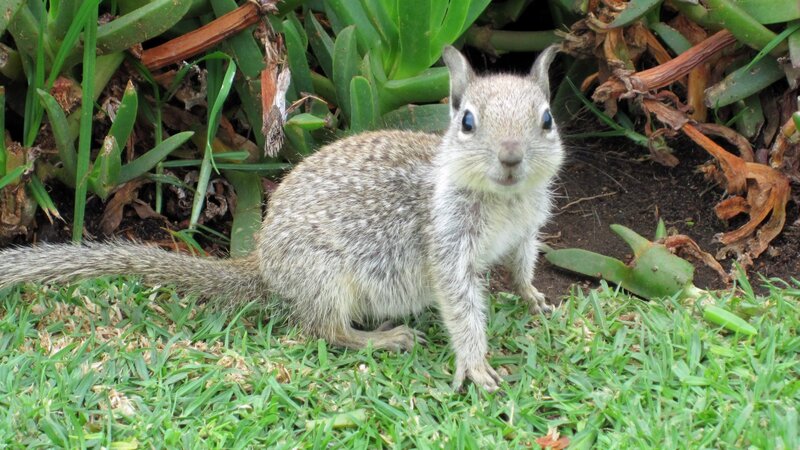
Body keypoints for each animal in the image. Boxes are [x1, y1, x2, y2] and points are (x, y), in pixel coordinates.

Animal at [0, 46, 563, 392]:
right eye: (467, 122)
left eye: (547, 119)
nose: (511, 157)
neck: (507, 201)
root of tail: (263, 268)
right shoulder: (449, 246)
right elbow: (461, 306)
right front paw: (475, 365)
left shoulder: (528, 227)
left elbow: (522, 264)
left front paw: (533, 296)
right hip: (327, 278)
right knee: (325, 331)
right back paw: (385, 338)